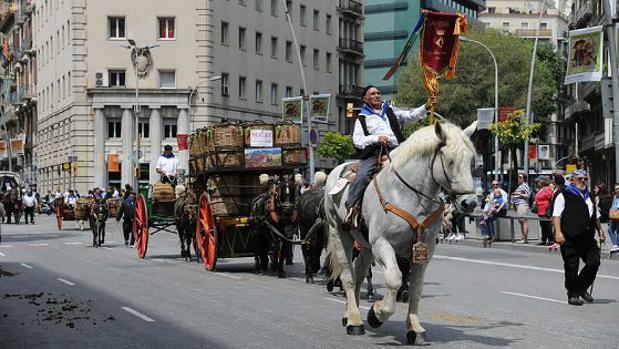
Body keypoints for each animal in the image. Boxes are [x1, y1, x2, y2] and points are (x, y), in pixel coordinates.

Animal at [324, 121, 480, 344]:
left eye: (471, 162)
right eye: (450, 162)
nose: (470, 203)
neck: (409, 194)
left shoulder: (425, 249)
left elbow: (415, 288)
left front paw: (415, 328)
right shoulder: (383, 243)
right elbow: (395, 279)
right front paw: (376, 314)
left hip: (366, 245)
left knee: (359, 270)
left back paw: (350, 315)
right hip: (340, 232)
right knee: (348, 275)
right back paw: (354, 320)